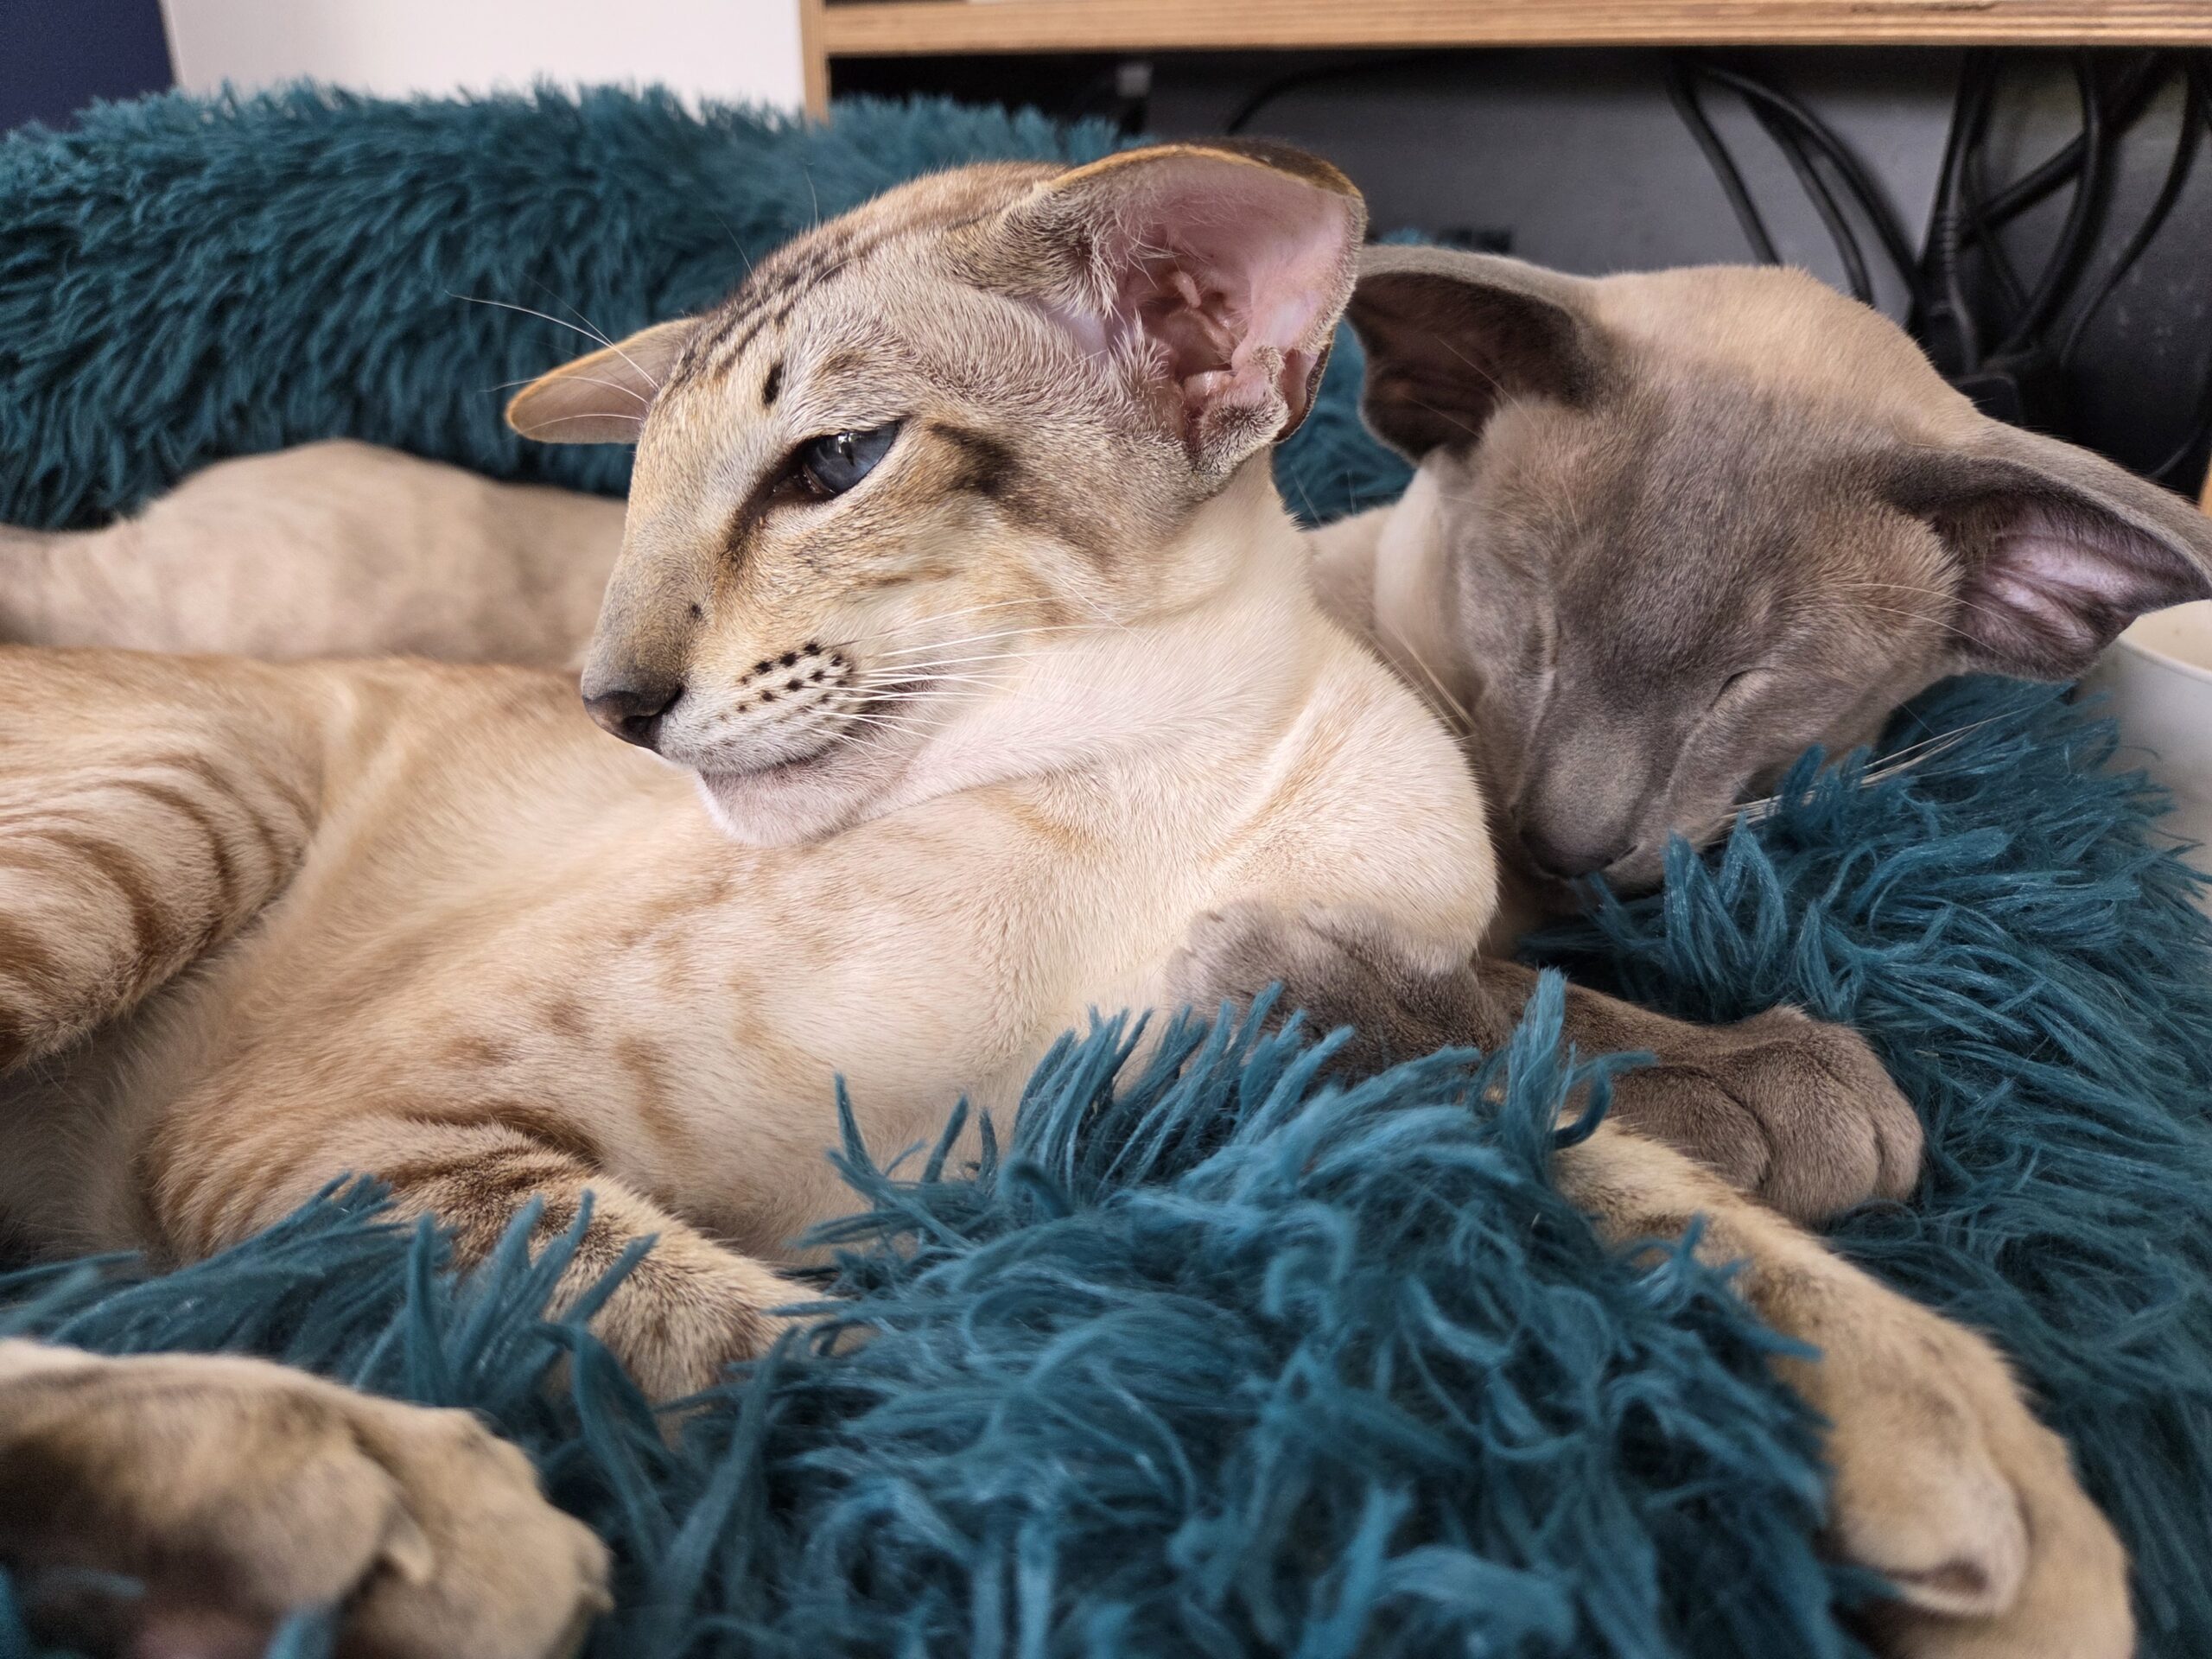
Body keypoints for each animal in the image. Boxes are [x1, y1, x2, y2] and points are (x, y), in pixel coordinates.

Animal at [0, 147, 2122, 1656]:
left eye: (834, 464)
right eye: (641, 502)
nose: (611, 702)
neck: (1155, 804)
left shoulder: (1242, 1055)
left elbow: (1554, 1129)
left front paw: (1962, 1467)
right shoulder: (342, 1127)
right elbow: (843, 1360)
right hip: (180, 816)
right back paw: (351, 1499)